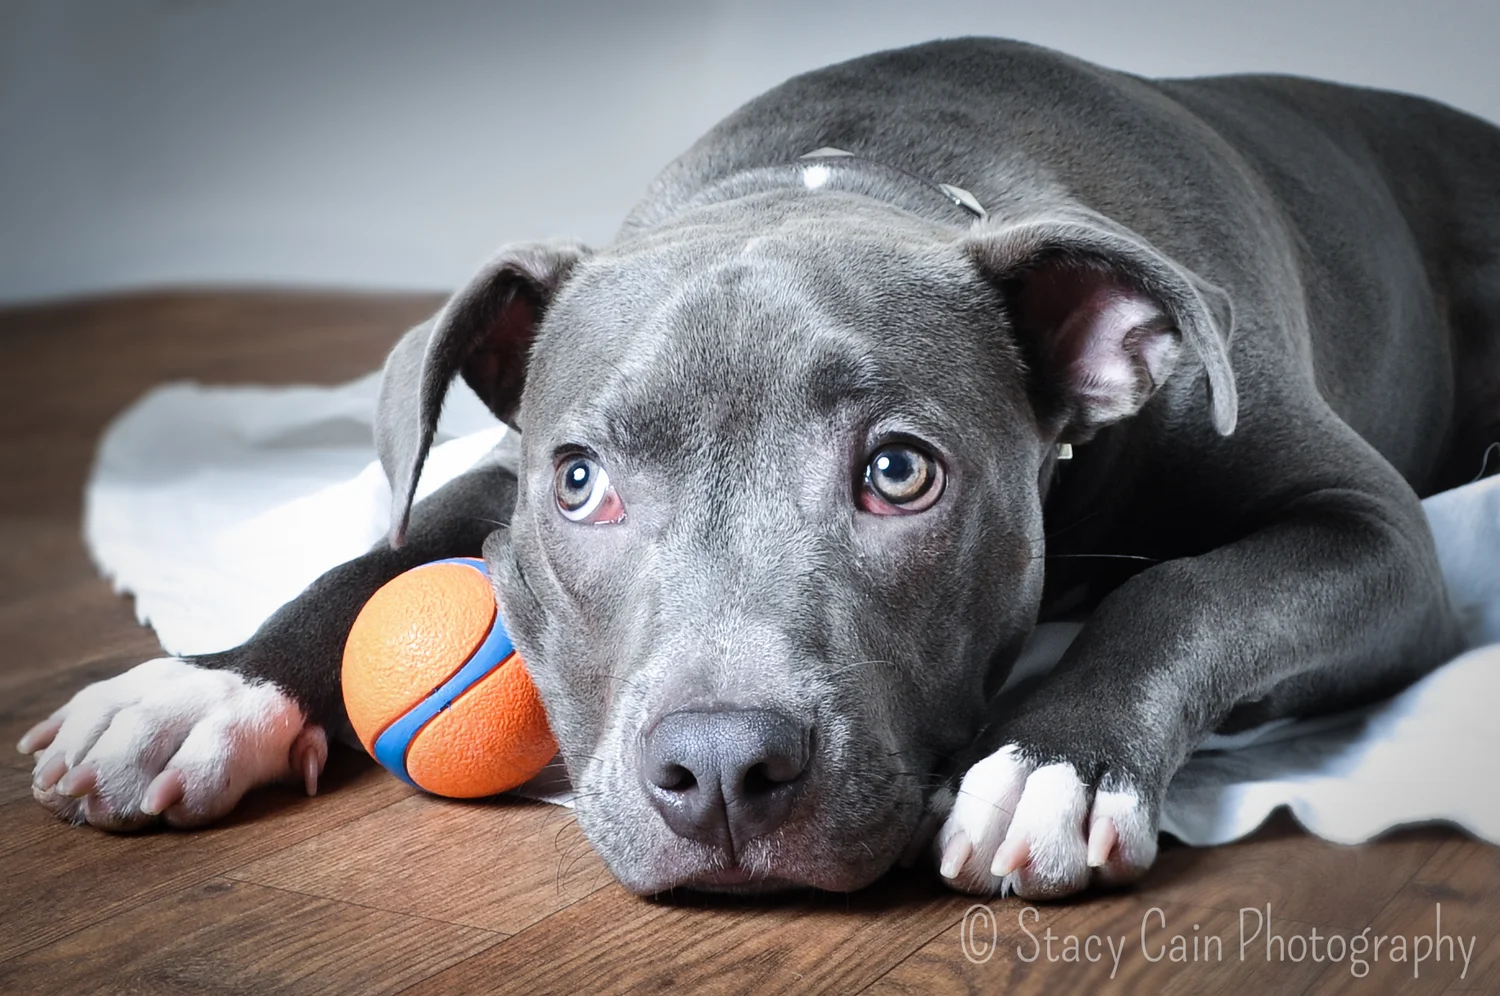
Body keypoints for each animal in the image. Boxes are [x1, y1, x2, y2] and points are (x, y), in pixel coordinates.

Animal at [21, 37, 1498, 900]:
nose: (723, 770)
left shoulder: (1370, 532)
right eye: (580, 482)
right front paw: (206, 689)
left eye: (899, 472)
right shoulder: (501, 469)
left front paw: (1056, 758)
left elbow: (1177, 591)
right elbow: (374, 548)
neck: (836, 181)